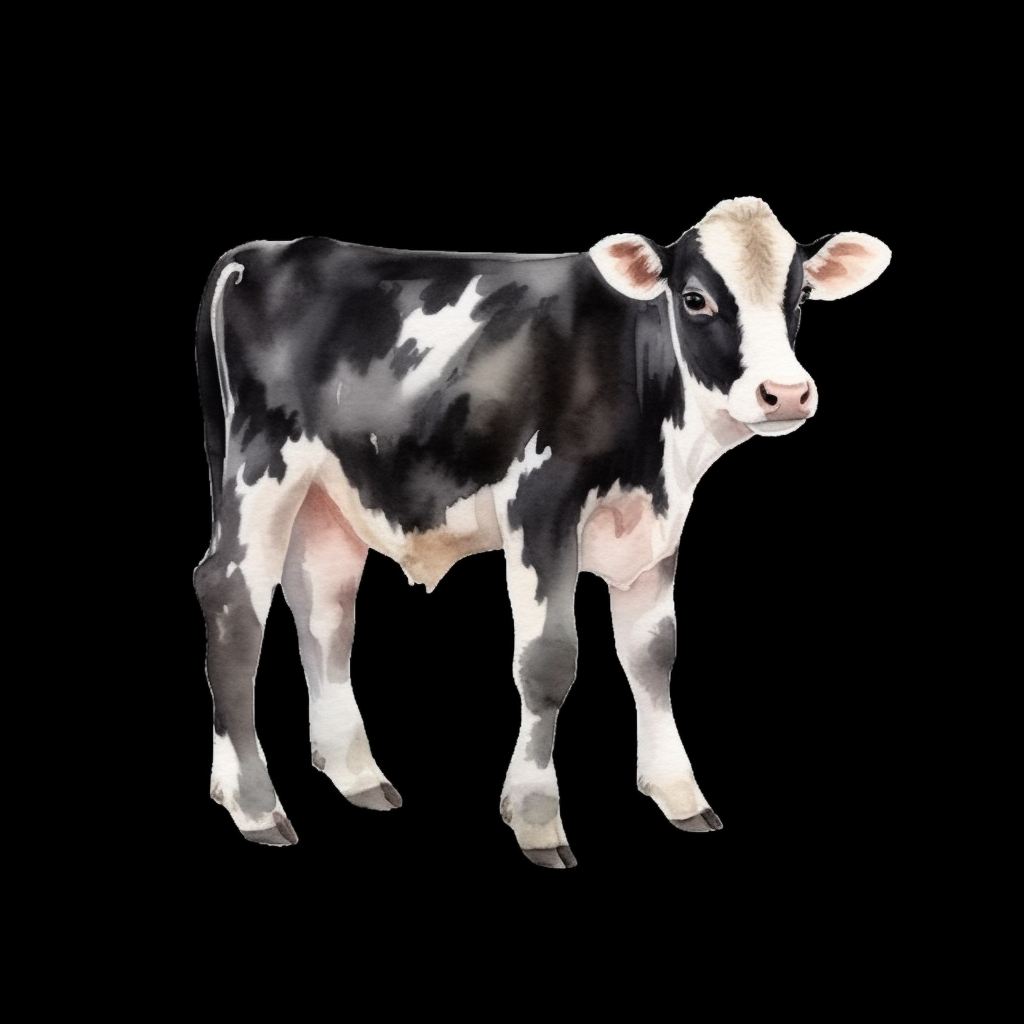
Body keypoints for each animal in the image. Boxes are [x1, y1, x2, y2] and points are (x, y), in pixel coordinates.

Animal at [193, 197, 890, 866]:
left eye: (799, 297)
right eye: (695, 298)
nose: (786, 392)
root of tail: (264, 251)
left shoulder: (656, 525)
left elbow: (653, 652)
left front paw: (678, 793)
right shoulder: (540, 503)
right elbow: (548, 661)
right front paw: (535, 818)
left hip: (325, 497)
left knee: (324, 610)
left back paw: (357, 775)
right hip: (261, 462)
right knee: (232, 600)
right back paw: (254, 805)